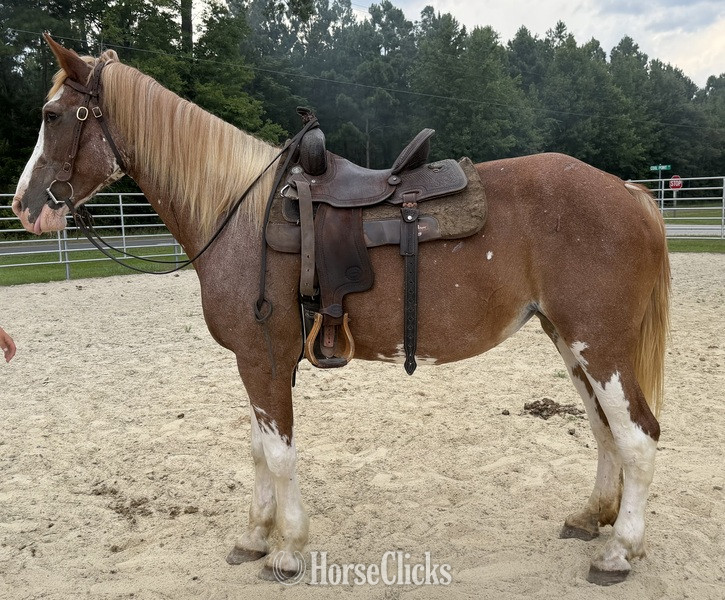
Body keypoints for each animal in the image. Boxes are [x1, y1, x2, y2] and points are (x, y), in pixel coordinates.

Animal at [12, 35, 670, 586]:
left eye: (52, 116)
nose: (23, 205)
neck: (238, 214)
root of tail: (629, 192)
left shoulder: (262, 358)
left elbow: (279, 454)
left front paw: (287, 551)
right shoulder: (261, 360)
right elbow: (259, 449)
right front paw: (254, 537)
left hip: (598, 345)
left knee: (638, 437)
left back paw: (619, 551)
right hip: (568, 340)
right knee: (605, 430)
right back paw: (592, 517)